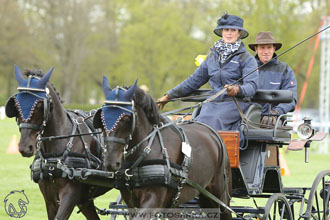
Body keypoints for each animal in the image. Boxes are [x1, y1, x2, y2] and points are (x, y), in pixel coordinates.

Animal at [93, 75, 232, 218]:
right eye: (101, 119)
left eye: (126, 119)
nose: (110, 162)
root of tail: (212, 132)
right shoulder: (131, 202)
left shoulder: (153, 200)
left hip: (220, 196)